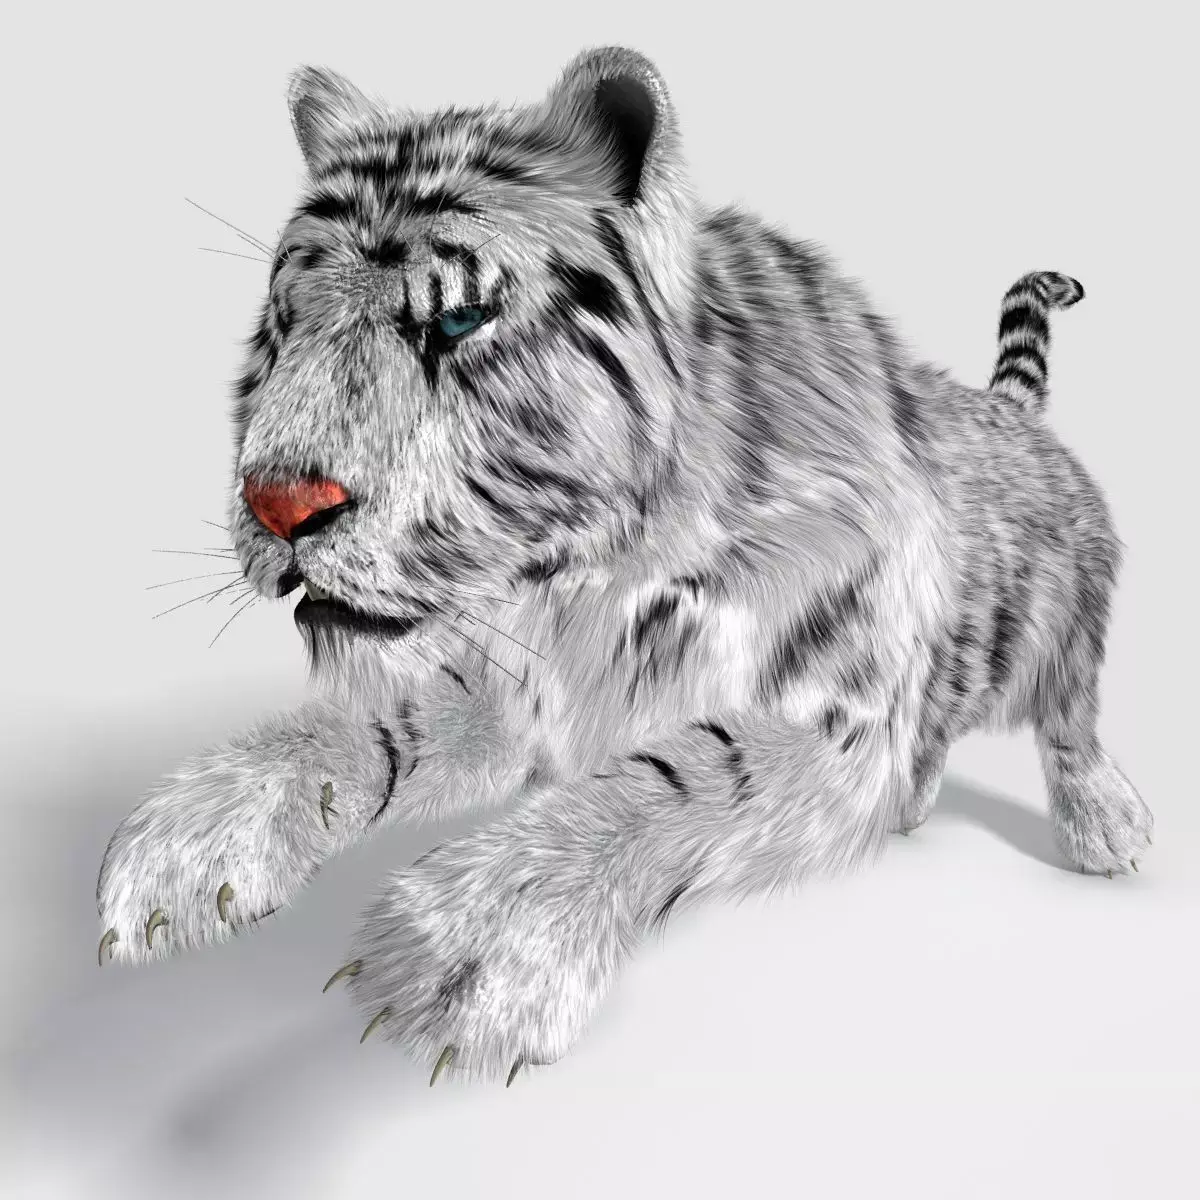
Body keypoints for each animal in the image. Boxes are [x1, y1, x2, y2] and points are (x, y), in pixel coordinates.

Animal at [95, 46, 1153, 1087]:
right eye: (287, 317)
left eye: (458, 323)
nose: (278, 505)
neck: (580, 587)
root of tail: (1009, 407)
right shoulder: (514, 690)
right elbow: (372, 727)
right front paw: (189, 841)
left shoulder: (841, 720)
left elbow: (681, 778)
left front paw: (473, 949)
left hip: (1066, 630)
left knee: (1072, 719)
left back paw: (1110, 832)